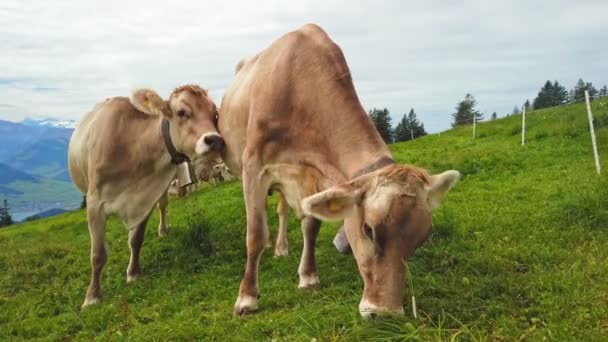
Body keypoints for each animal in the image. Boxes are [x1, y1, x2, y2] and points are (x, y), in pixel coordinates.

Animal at [69, 85, 224, 308]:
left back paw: (163, 230)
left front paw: (134, 273)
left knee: (163, 206)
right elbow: (98, 254)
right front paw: (92, 297)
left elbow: (136, 240)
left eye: (214, 113)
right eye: (182, 112)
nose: (216, 140)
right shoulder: (94, 204)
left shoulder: (147, 198)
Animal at [218, 24, 460, 318]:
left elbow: (311, 226)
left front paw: (308, 277)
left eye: (421, 238)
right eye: (369, 230)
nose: (385, 313)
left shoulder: (315, 178)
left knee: (283, 209)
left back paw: (281, 248)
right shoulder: (254, 167)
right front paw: (246, 298)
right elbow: (255, 235)